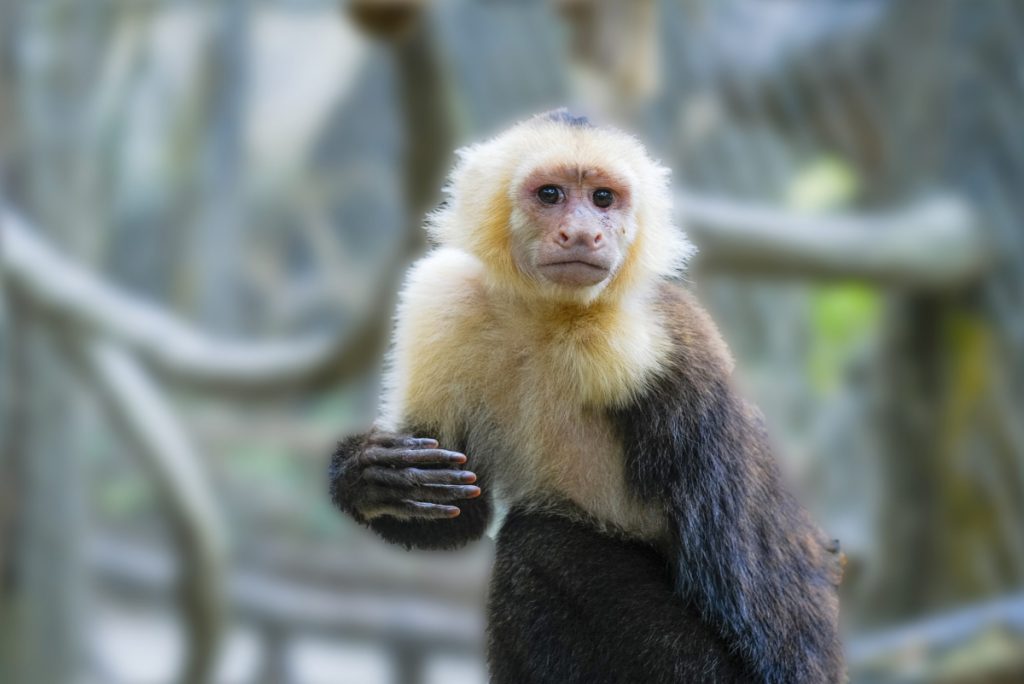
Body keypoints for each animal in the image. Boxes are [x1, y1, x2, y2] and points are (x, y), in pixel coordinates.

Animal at [329, 109, 844, 683]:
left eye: (603, 198)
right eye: (550, 194)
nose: (582, 232)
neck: (547, 317)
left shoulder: (672, 347)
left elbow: (750, 592)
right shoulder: (443, 298)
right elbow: (454, 510)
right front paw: (370, 477)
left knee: (541, 544)